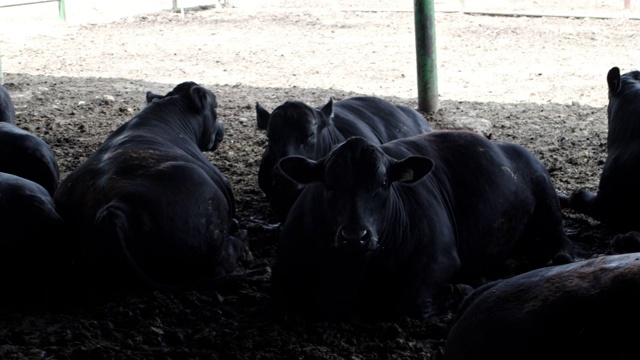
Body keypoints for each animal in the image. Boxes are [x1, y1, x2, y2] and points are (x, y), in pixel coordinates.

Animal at [272, 132, 572, 320]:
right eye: (329, 184)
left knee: (561, 244)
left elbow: (412, 302)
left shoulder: (441, 258)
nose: (355, 235)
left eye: (383, 184)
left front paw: (459, 290)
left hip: (548, 204)